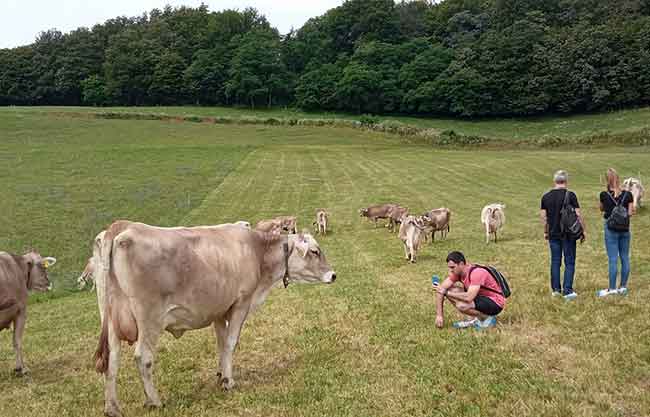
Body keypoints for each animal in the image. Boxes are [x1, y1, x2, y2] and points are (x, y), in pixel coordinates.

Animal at [94, 219, 336, 414]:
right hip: (149, 319)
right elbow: (230, 342)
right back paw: (154, 401)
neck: (257, 252)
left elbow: (221, 343)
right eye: (315, 251)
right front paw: (229, 382)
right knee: (143, 357)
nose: (333, 275)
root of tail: (122, 226)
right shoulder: (241, 303)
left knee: (111, 361)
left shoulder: (220, 310)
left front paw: (221, 375)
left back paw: (112, 408)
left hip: (111, 321)